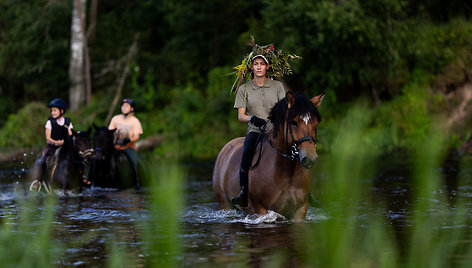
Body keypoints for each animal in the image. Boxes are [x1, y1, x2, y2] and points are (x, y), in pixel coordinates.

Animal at [213, 91, 324, 221]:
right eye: (294, 122)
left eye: (315, 123)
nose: (310, 159)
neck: (287, 173)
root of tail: (227, 147)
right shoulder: (261, 211)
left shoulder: (300, 211)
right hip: (224, 204)